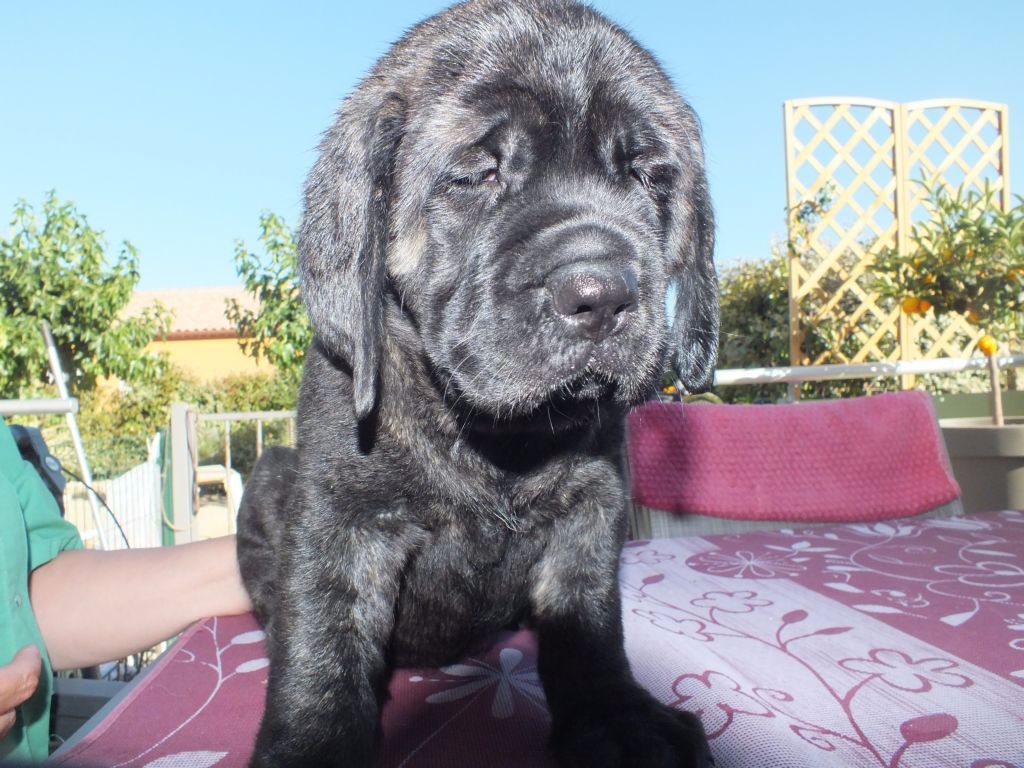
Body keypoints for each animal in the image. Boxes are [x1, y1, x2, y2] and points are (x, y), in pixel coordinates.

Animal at [236, 0, 719, 765]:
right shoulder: (342, 522)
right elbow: (322, 646)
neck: (496, 439)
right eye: (476, 174)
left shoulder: (592, 510)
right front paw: (312, 743)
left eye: (647, 178)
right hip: (266, 482)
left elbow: (588, 624)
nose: (602, 294)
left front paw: (616, 719)